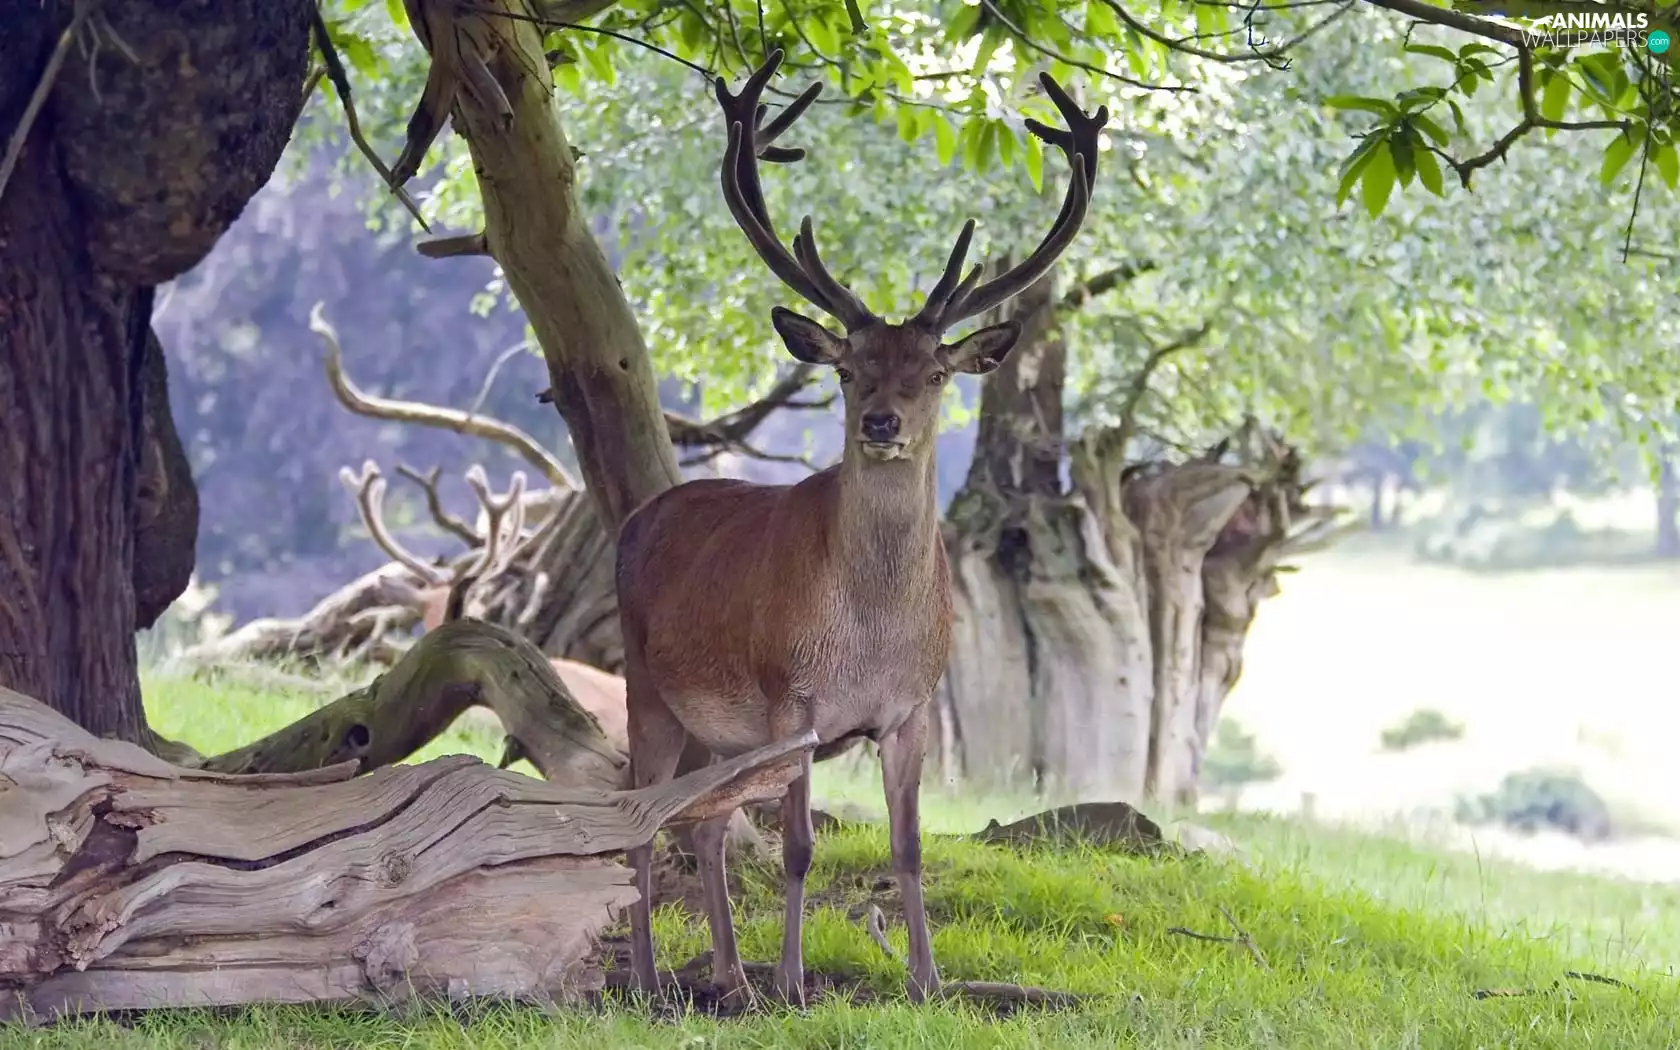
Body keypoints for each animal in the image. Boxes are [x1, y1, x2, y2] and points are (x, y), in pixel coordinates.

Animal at [615, 50, 1107, 1005]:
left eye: (934, 373)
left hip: (712, 726)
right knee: (641, 816)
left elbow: (908, 847)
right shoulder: (791, 701)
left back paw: (728, 976)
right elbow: (802, 848)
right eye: (847, 370)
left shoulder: (911, 709)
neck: (869, 632)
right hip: (643, 683)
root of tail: (636, 515)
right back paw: (658, 980)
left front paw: (927, 982)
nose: (882, 422)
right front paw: (795, 984)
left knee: (701, 825)